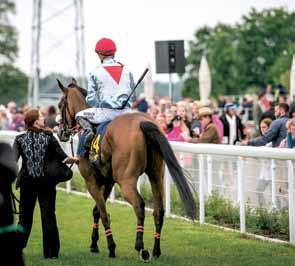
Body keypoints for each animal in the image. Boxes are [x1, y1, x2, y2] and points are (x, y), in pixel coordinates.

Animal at [56, 78, 198, 260]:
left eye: (60, 104)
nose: (60, 131)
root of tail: (143, 123)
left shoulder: (91, 182)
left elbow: (103, 214)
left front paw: (111, 247)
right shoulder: (108, 182)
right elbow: (96, 211)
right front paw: (94, 244)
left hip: (126, 181)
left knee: (139, 205)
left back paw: (141, 247)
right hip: (156, 176)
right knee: (158, 211)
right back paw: (156, 250)